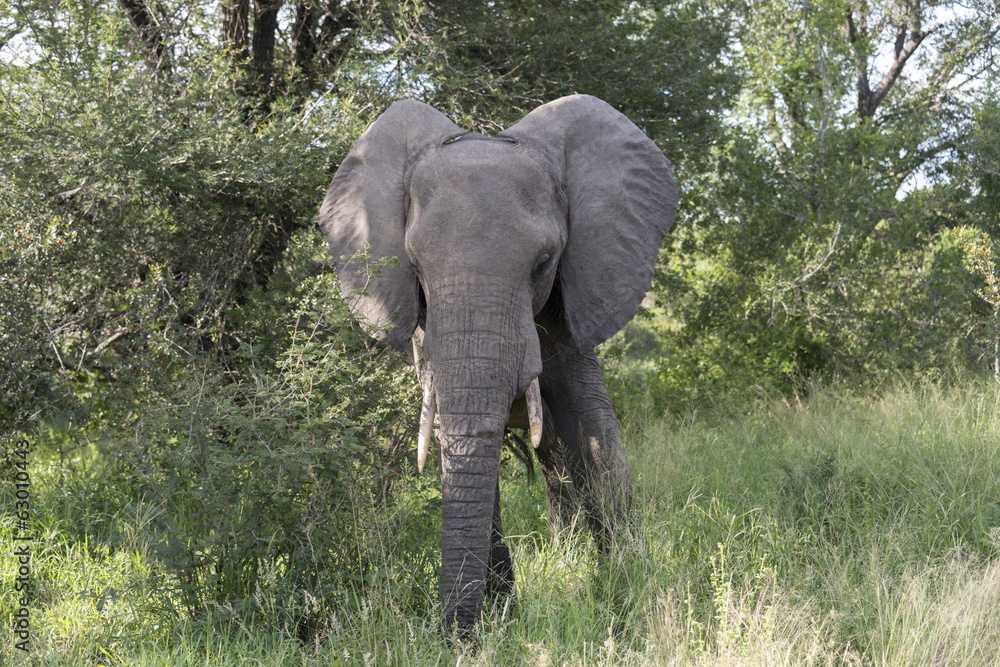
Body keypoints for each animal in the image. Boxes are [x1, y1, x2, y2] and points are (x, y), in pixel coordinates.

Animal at [317, 94, 678, 632]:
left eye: (544, 262)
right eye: (415, 267)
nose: (451, 635)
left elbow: (592, 426)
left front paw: (628, 583)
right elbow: (454, 436)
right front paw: (503, 612)